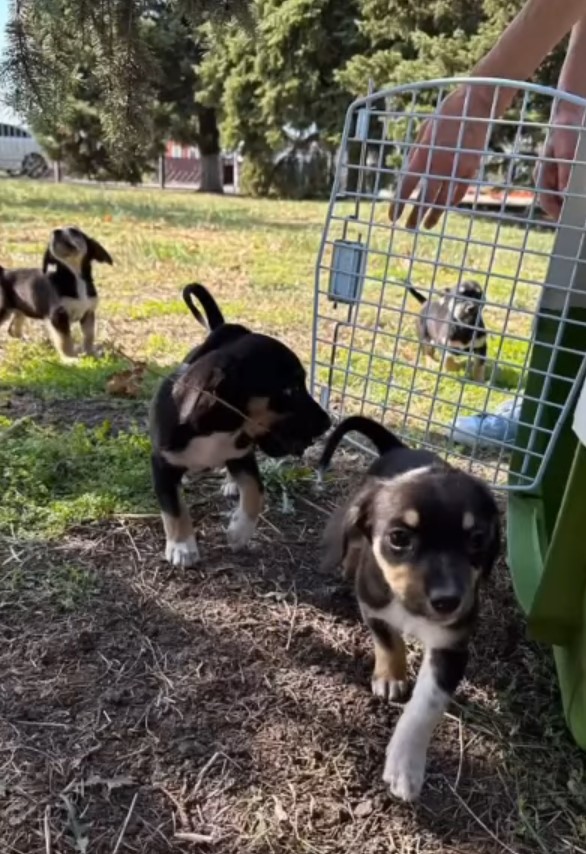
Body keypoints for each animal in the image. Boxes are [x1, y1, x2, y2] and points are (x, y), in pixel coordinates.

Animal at [0, 227, 112, 362]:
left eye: (74, 231)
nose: (56, 231)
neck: (74, 276)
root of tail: (3, 272)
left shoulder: (88, 313)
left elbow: (89, 336)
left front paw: (91, 354)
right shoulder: (58, 316)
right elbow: (65, 340)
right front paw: (70, 359)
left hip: (22, 309)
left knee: (12, 330)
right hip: (4, 310)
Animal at [148, 284, 330, 572]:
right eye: (290, 389)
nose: (328, 422)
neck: (216, 429)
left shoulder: (242, 454)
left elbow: (256, 490)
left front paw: (239, 532)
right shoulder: (161, 462)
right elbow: (174, 508)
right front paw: (182, 547)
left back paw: (231, 484)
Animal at [320, 418, 498, 804]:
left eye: (477, 539)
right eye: (399, 537)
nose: (448, 601)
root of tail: (398, 446)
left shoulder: (451, 646)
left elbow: (425, 707)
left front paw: (406, 765)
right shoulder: (372, 603)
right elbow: (388, 640)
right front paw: (390, 677)